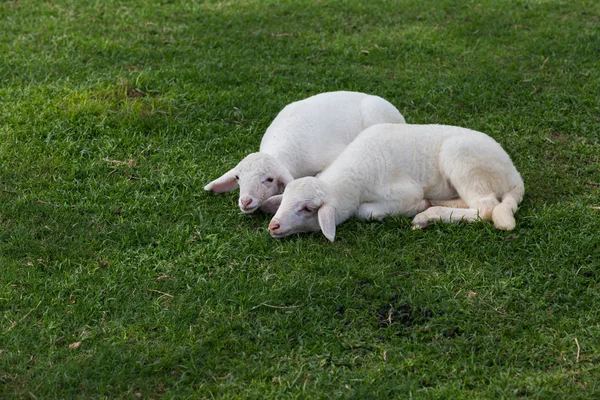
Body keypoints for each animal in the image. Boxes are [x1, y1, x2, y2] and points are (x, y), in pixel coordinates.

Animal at [268, 122, 524, 241]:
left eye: (307, 208)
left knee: (486, 209)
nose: (273, 226)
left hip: (463, 161)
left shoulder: (403, 192)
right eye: (285, 199)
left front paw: (418, 207)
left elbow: (366, 212)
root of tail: (515, 177)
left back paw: (427, 215)